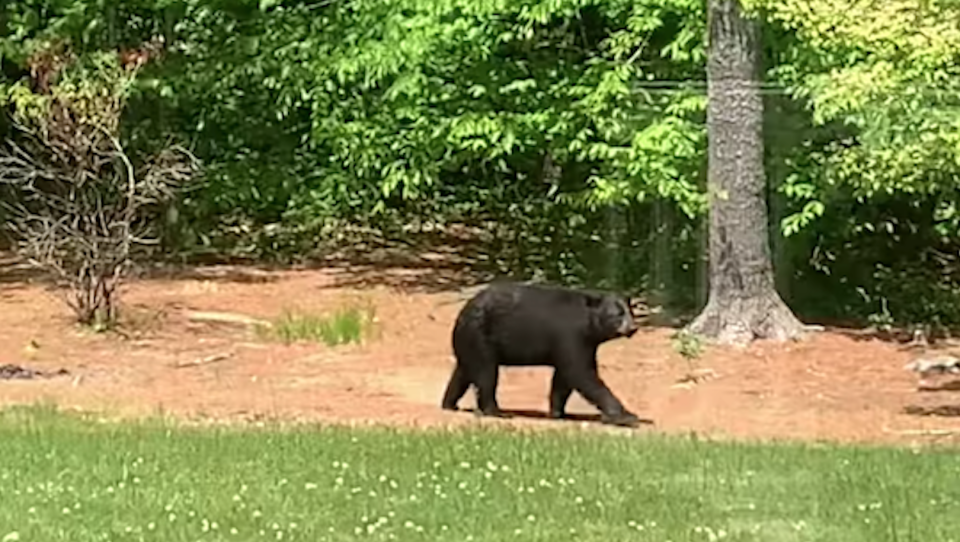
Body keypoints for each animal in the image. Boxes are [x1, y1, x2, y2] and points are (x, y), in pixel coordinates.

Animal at [440, 282, 644, 428]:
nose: (632, 328)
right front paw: (626, 416)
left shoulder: (584, 343)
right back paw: (496, 411)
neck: (588, 326)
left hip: (470, 341)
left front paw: (558, 412)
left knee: (463, 372)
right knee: (486, 374)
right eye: (617, 314)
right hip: (482, 337)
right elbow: (582, 374)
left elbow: (563, 379)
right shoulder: (570, 335)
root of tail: (463, 312)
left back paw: (450, 404)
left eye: (630, 312)